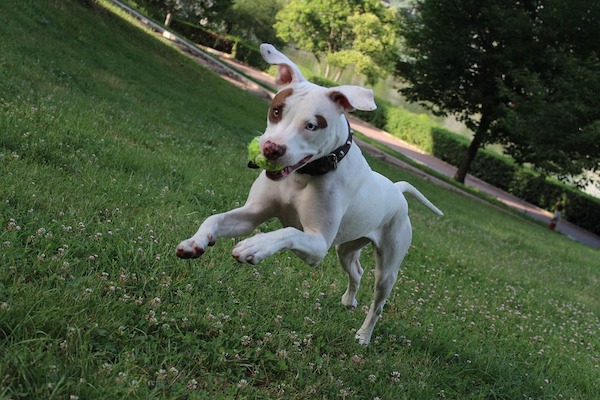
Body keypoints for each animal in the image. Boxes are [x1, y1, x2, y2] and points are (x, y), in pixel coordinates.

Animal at [173, 43, 440, 344]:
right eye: (276, 111)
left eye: (312, 125)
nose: (271, 149)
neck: (303, 175)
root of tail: (396, 189)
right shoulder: (251, 215)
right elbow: (215, 218)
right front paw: (195, 242)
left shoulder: (317, 245)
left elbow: (286, 232)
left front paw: (256, 246)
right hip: (346, 248)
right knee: (356, 270)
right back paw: (349, 300)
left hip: (388, 266)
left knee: (378, 303)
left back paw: (363, 335)